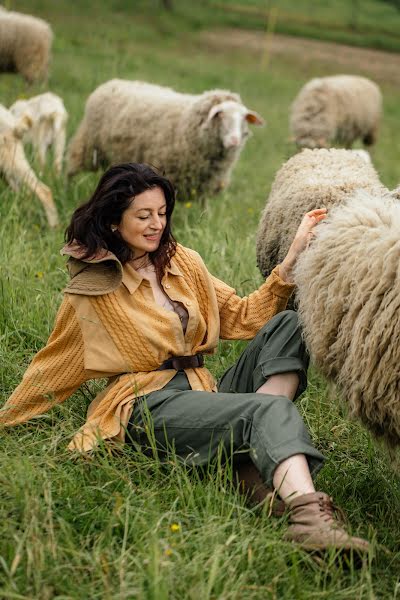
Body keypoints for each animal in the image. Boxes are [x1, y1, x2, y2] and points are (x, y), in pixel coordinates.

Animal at [67, 78, 264, 202]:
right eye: (220, 114)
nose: (234, 141)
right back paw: (67, 189)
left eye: (244, 118)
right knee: (72, 169)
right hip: (88, 145)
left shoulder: (205, 186)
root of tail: (111, 83)